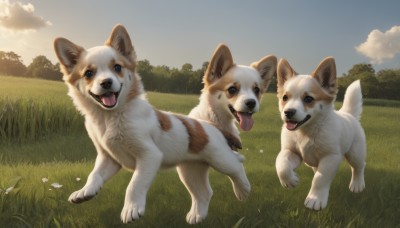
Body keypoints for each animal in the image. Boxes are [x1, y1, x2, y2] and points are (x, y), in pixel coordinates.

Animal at [276, 56, 366, 210]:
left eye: (308, 99)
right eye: (285, 97)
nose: (288, 112)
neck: (306, 132)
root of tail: (349, 115)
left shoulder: (330, 157)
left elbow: (320, 178)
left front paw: (315, 199)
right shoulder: (291, 152)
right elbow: (281, 164)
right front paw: (290, 180)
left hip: (356, 153)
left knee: (358, 167)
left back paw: (357, 185)